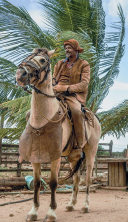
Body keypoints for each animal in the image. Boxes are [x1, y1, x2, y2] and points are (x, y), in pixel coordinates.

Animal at [15, 47, 101, 221]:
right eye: (29, 56)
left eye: (43, 60)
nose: (20, 74)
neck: (42, 120)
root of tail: (95, 118)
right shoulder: (35, 157)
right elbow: (37, 183)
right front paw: (33, 211)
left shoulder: (55, 157)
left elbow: (53, 183)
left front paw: (51, 212)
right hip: (73, 156)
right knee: (76, 177)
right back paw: (71, 204)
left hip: (90, 152)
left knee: (87, 178)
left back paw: (85, 206)